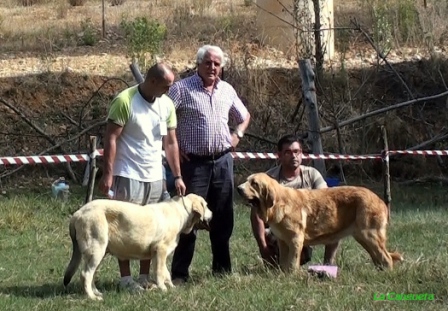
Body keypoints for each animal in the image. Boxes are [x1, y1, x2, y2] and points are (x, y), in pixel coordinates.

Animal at [61, 194, 214, 302]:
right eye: (206, 205)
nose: (212, 214)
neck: (182, 213)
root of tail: (78, 213)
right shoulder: (161, 250)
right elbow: (160, 273)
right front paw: (163, 289)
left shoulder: (157, 254)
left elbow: (165, 273)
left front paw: (171, 287)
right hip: (96, 249)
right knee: (85, 274)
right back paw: (92, 297)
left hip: (99, 252)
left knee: (90, 274)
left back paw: (96, 292)